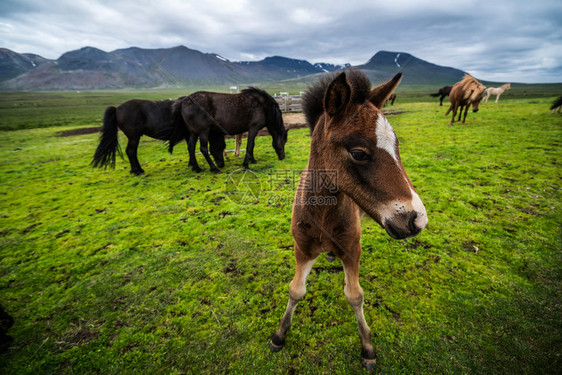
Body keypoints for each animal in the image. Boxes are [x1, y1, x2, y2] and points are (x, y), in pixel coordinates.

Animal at [89, 100, 225, 176]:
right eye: (221, 146)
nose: (222, 164)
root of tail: (117, 109)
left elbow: (189, 148)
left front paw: (191, 164)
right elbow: (191, 148)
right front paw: (194, 165)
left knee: (131, 152)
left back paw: (136, 170)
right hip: (134, 137)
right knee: (131, 151)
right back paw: (137, 171)